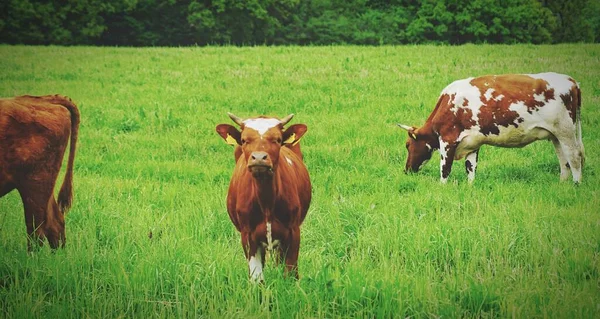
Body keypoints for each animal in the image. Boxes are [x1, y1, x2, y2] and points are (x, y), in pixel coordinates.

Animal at [216, 112, 312, 282]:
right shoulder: (248, 236)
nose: (259, 158)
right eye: (244, 140)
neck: (266, 201)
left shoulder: (293, 232)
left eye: (278, 140)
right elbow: (257, 278)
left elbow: (290, 273)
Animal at [396, 71, 584, 184]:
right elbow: (470, 168)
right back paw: (562, 183)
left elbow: (445, 168)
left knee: (574, 156)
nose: (406, 170)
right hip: (555, 135)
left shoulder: (447, 140)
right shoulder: (472, 143)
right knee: (563, 159)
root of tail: (572, 81)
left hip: (566, 131)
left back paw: (576, 184)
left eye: (407, 145)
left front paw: (442, 187)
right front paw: (470, 187)